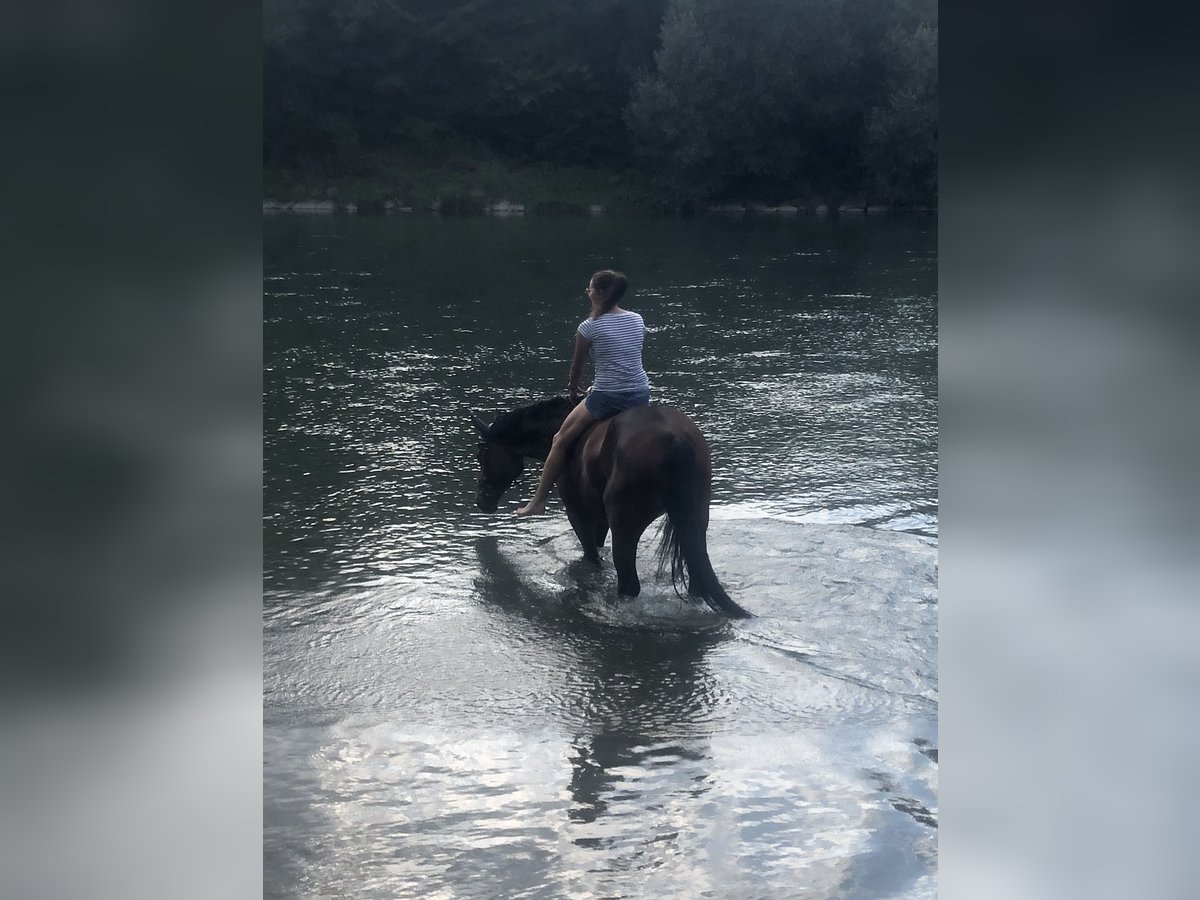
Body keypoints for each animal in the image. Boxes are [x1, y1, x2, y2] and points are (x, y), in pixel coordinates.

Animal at [472, 396, 751, 618]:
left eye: (481, 455)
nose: (481, 500)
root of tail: (675, 438)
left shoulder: (578, 512)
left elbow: (590, 556)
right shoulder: (600, 518)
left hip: (626, 527)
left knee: (629, 583)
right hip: (696, 518)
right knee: (695, 575)